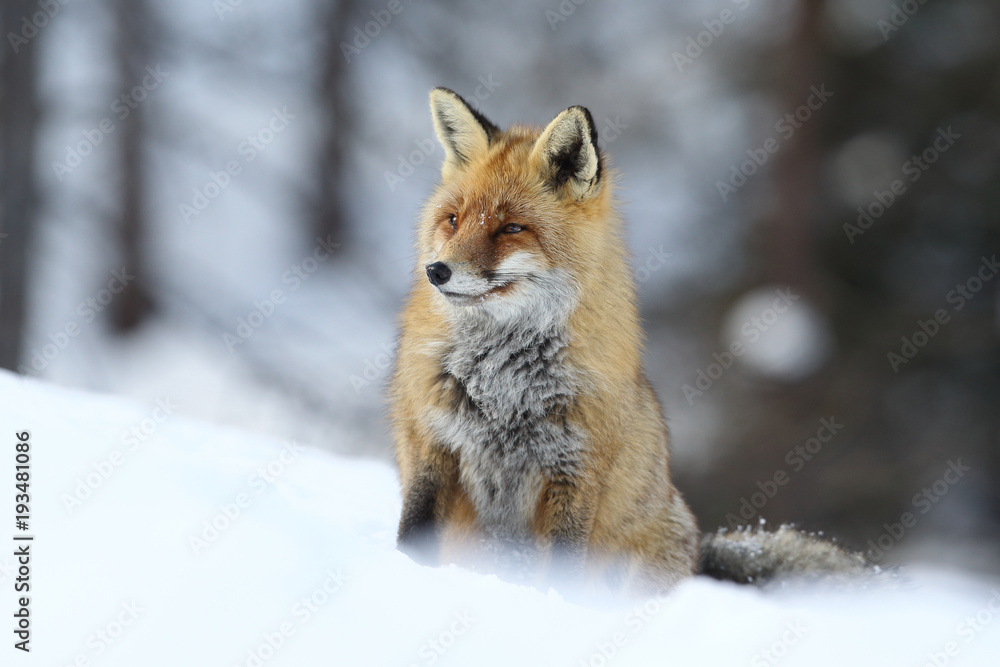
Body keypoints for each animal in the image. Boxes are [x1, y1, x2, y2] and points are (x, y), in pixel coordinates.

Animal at [389, 88, 872, 594]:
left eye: (511, 228)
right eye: (453, 220)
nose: (437, 271)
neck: (504, 383)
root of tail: (696, 560)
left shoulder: (575, 470)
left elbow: (562, 568)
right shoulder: (431, 447)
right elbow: (412, 536)